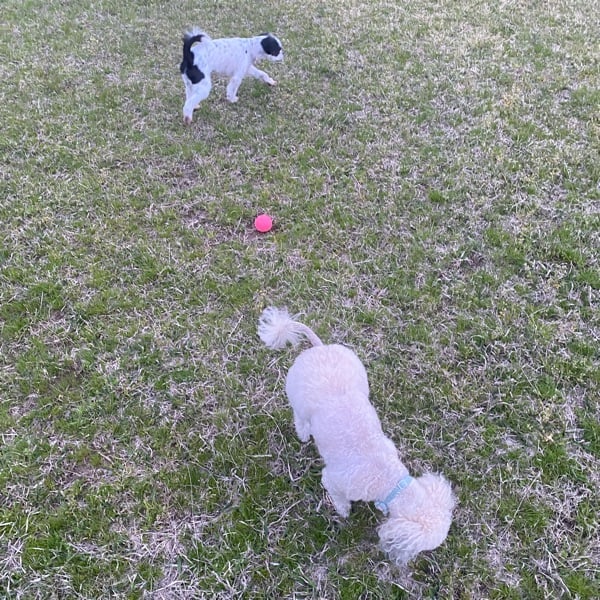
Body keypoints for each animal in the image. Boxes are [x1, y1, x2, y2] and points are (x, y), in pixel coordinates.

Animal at [258, 307, 456, 564]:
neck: (388, 477)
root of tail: (320, 348)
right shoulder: (334, 481)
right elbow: (338, 497)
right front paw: (344, 512)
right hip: (297, 398)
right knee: (300, 418)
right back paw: (303, 434)